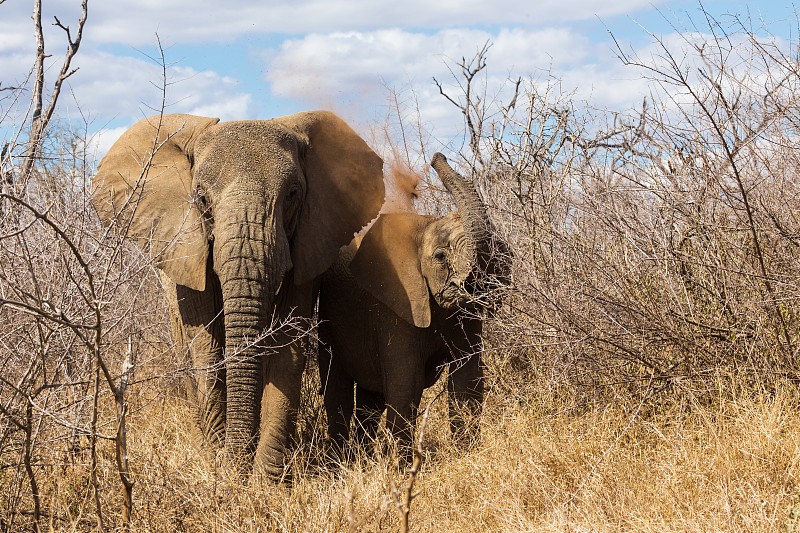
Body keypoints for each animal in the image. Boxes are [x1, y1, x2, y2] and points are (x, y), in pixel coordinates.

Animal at [92, 110, 386, 476]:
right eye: (201, 199)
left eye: (292, 194)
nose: (235, 464)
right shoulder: (187, 245)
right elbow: (205, 343)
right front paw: (221, 468)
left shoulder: (310, 238)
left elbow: (287, 343)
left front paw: (264, 479)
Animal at [318, 152, 506, 456]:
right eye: (440, 257)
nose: (437, 156)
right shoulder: (394, 306)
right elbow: (406, 383)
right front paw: (403, 466)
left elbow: (467, 379)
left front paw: (468, 455)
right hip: (327, 323)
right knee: (338, 395)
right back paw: (340, 460)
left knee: (370, 402)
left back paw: (363, 460)